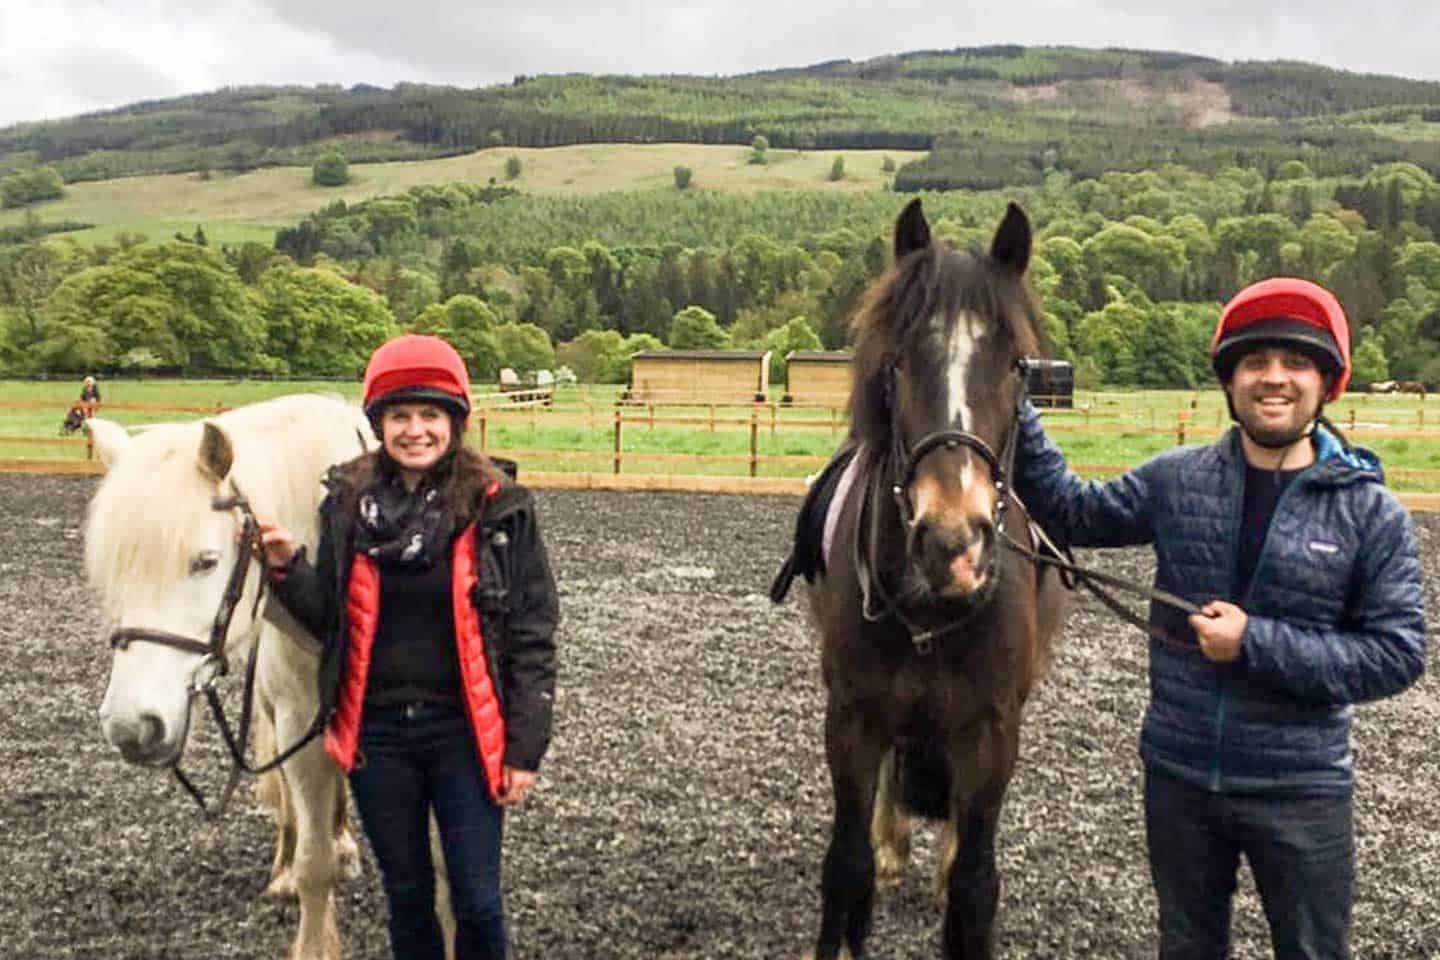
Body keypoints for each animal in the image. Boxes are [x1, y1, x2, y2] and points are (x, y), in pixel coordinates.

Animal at [798, 199, 1066, 960]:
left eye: (1017, 366)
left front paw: (956, 877)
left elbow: (976, 885)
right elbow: (846, 868)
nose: (953, 541)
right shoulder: (852, 718)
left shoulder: (991, 728)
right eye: (897, 360)